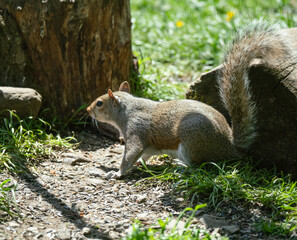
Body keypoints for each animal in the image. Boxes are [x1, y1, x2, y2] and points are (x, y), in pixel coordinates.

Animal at [86, 24, 290, 178]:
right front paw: (140, 165)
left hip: (191, 142)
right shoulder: (148, 145)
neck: (127, 110)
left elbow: (131, 154)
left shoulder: (136, 131)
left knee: (199, 166)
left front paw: (117, 173)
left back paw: (181, 169)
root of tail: (230, 147)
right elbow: (145, 155)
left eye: (99, 103)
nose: (87, 110)